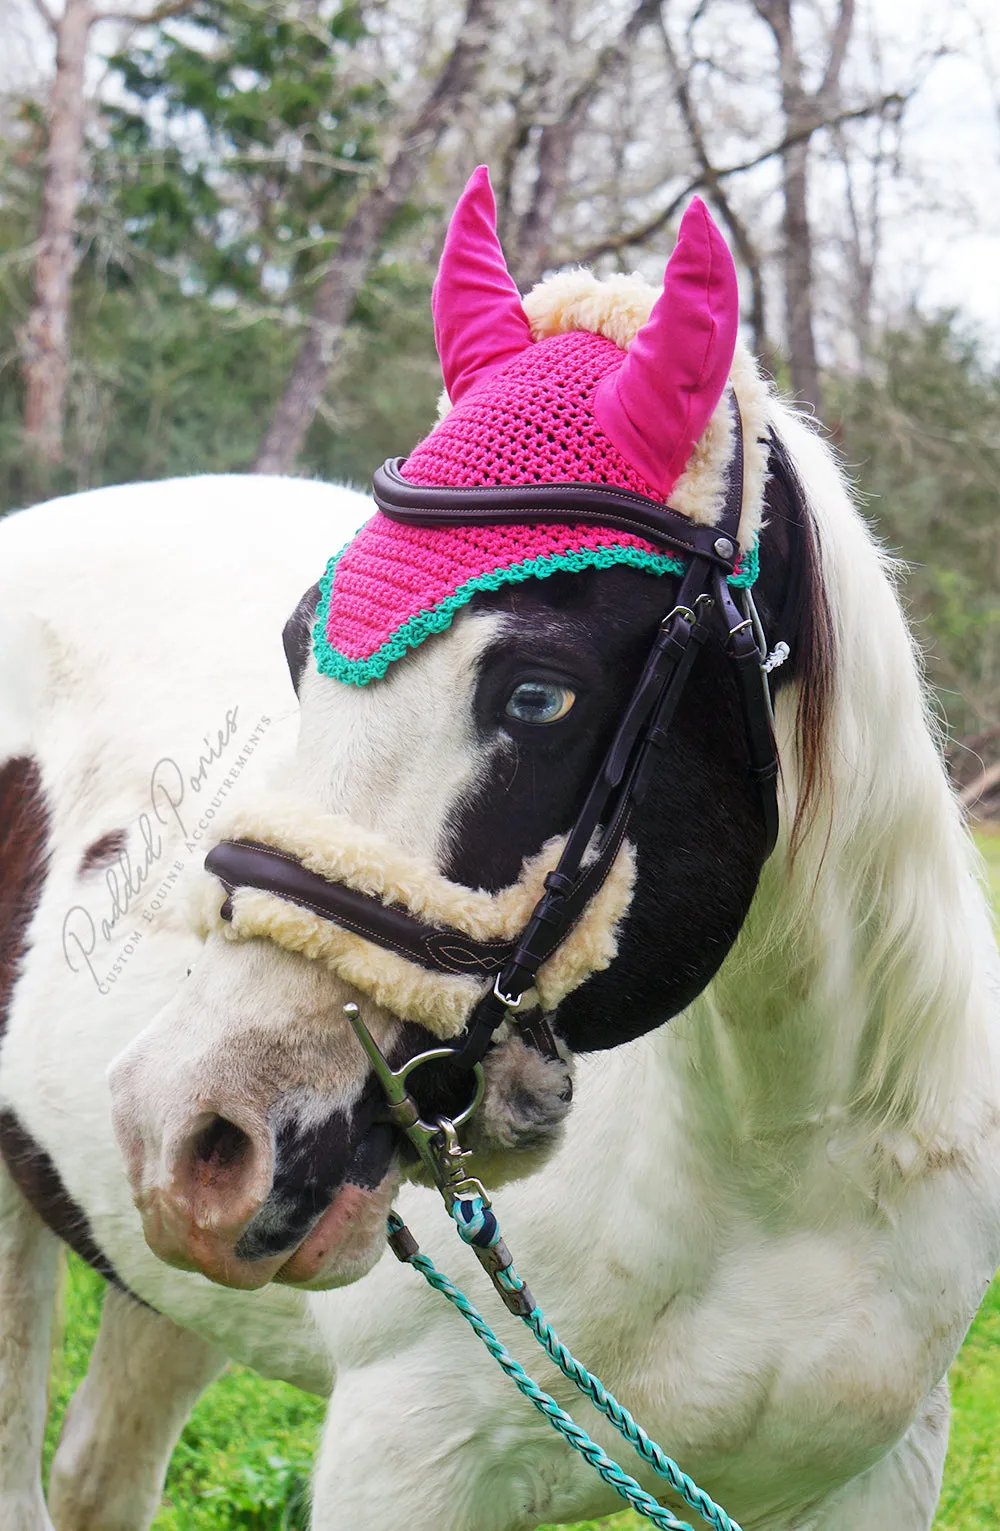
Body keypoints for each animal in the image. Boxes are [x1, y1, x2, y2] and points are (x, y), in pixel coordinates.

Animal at [0, 167, 992, 1531]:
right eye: (301, 643)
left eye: (536, 695)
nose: (197, 1128)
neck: (787, 1171)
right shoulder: (404, 1465)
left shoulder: (874, 1475)